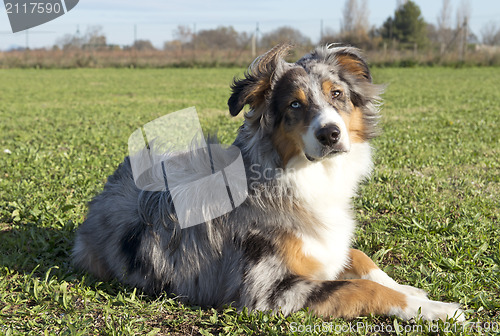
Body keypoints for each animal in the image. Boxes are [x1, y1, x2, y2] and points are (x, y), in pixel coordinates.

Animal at [73, 43, 464, 322]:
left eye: (336, 94)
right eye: (294, 105)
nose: (330, 134)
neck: (300, 177)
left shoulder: (325, 244)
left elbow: (359, 257)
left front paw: (412, 289)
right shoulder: (268, 291)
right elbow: (359, 289)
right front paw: (438, 310)